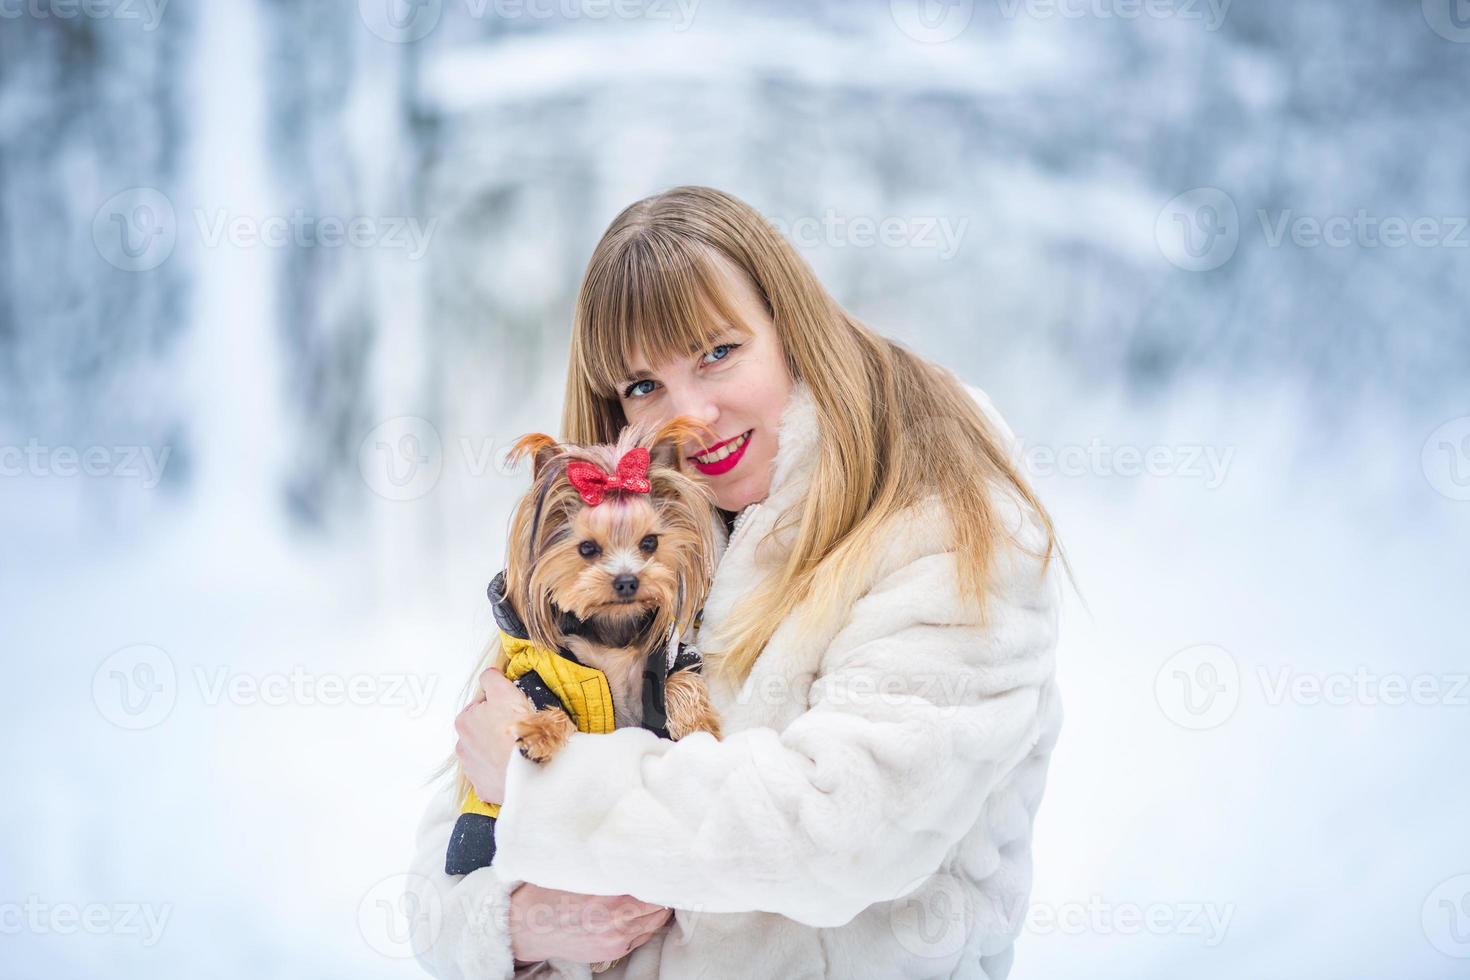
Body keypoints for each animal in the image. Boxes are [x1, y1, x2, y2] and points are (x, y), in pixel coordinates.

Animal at [443, 423, 726, 922]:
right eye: (587, 548)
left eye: (650, 543)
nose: (628, 580)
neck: (611, 632)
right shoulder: (536, 676)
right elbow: (545, 703)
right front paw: (539, 736)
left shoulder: (674, 657)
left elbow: (680, 682)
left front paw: (697, 725)